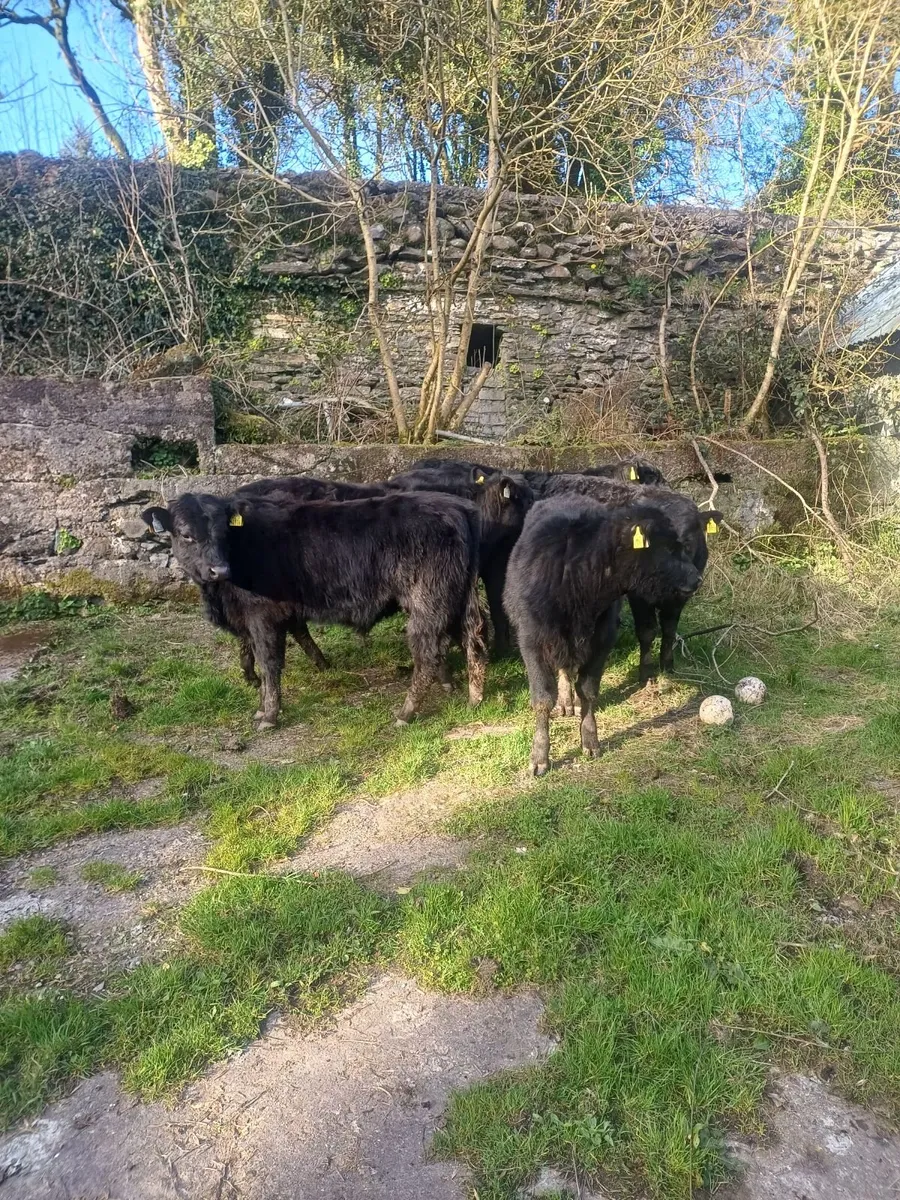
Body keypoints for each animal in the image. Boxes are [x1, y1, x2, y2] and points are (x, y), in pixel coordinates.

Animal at [142, 490, 487, 729]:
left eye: (224, 532)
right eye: (186, 533)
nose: (219, 569)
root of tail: (456, 507)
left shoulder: (262, 616)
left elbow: (269, 664)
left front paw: (268, 715)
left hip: (427, 602)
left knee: (428, 653)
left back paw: (406, 712)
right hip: (455, 599)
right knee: (469, 642)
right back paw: (471, 697)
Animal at [503, 495, 703, 776]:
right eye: (667, 547)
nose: (696, 578)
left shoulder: (602, 639)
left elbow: (588, 691)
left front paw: (590, 739)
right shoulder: (533, 641)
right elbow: (542, 700)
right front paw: (539, 756)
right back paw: (565, 701)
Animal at [537, 473, 722, 692]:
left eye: (686, 541)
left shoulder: (680, 597)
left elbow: (669, 629)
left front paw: (667, 665)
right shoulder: (639, 596)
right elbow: (647, 631)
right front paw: (646, 673)